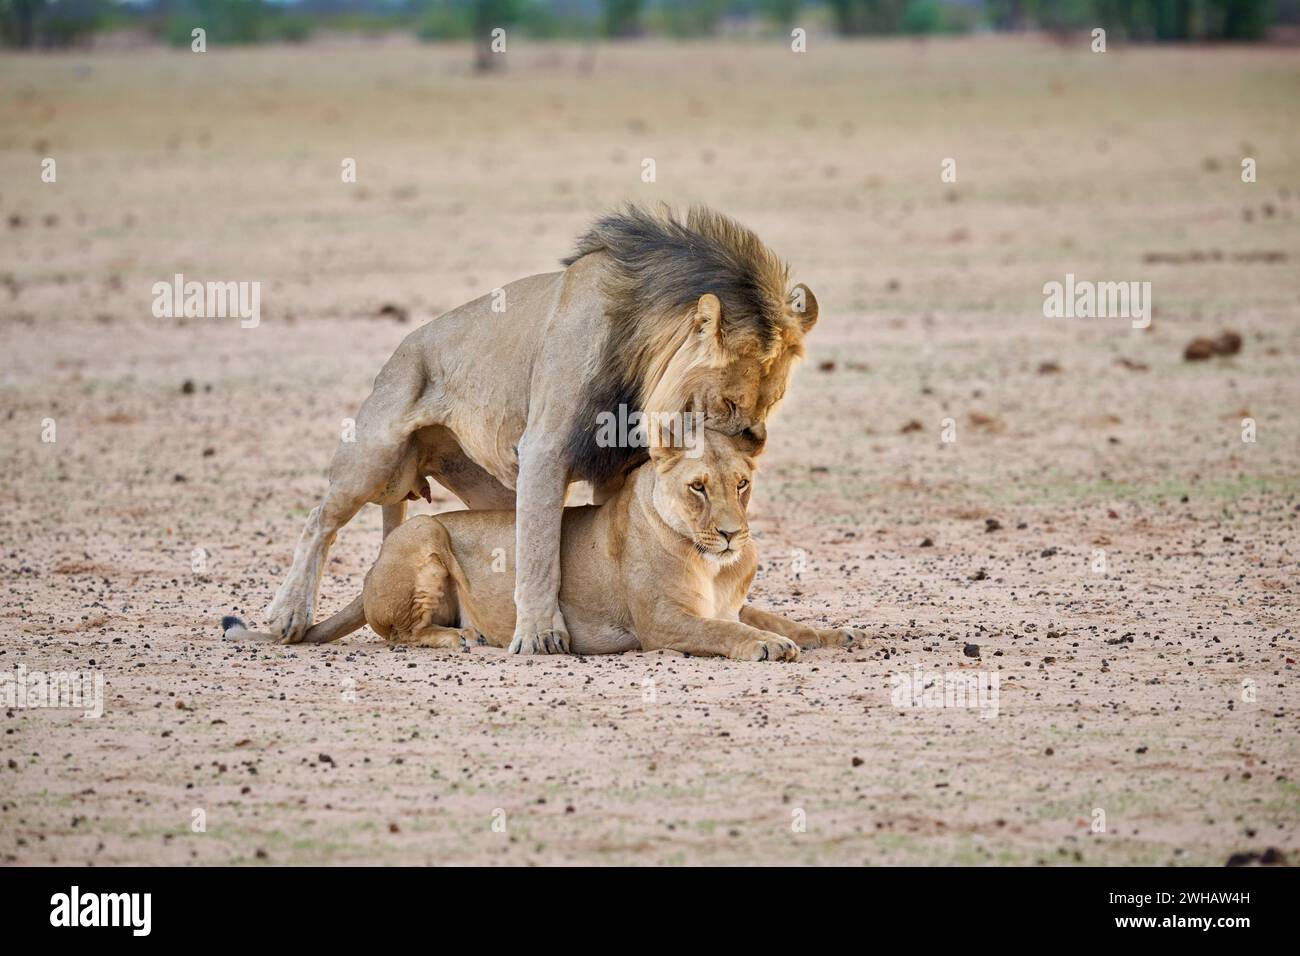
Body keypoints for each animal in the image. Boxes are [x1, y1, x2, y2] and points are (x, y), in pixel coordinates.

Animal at [232, 431, 863, 659]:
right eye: (698, 487)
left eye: (742, 484)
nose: (733, 533)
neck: (715, 564)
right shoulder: (662, 623)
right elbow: (727, 632)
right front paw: (768, 646)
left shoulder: (731, 601)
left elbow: (781, 618)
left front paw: (835, 634)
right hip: (424, 533)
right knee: (400, 633)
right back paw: (462, 636)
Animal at [255, 205, 819, 656]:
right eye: (730, 402)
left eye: (773, 403)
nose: (755, 444)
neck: (635, 361)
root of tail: (403, 346)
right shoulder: (544, 448)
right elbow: (542, 550)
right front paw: (540, 636)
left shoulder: (617, 468)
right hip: (373, 455)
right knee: (320, 520)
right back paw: (289, 614)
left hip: (486, 493)